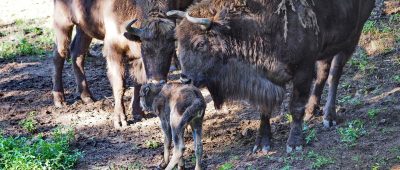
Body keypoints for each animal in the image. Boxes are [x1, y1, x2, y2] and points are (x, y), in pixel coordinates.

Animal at [52, 0, 196, 128]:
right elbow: (120, 84)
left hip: (83, 29)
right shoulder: (114, 52)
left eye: (171, 50)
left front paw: (138, 113)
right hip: (63, 24)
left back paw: (87, 97)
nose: (157, 82)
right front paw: (120, 121)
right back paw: (59, 100)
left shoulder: (138, 58)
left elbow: (138, 82)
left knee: (77, 54)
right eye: (145, 48)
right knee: (59, 55)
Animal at [170, 0, 376, 152]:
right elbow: (264, 109)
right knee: (323, 74)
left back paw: (329, 117)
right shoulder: (266, 78)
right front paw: (262, 144)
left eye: (200, 43)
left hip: (350, 39)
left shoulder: (303, 69)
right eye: (179, 42)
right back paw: (312, 111)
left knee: (334, 75)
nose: (185, 79)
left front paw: (294, 144)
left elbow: (295, 107)